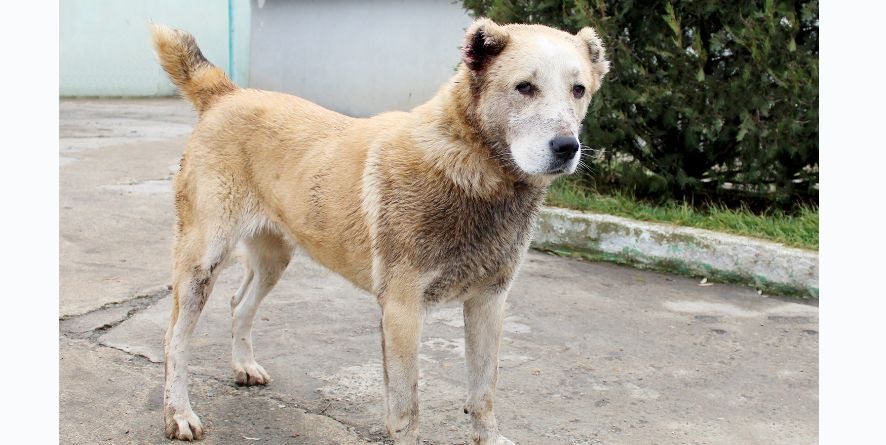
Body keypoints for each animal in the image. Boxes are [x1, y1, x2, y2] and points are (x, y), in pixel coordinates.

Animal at [153, 18, 612, 444]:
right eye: (524, 87)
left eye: (578, 90)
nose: (567, 147)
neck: (471, 167)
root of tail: (226, 93)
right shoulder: (402, 312)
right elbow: (408, 407)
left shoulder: (489, 302)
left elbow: (483, 391)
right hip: (202, 263)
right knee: (174, 339)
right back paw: (179, 414)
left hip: (275, 258)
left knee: (239, 303)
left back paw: (244, 366)